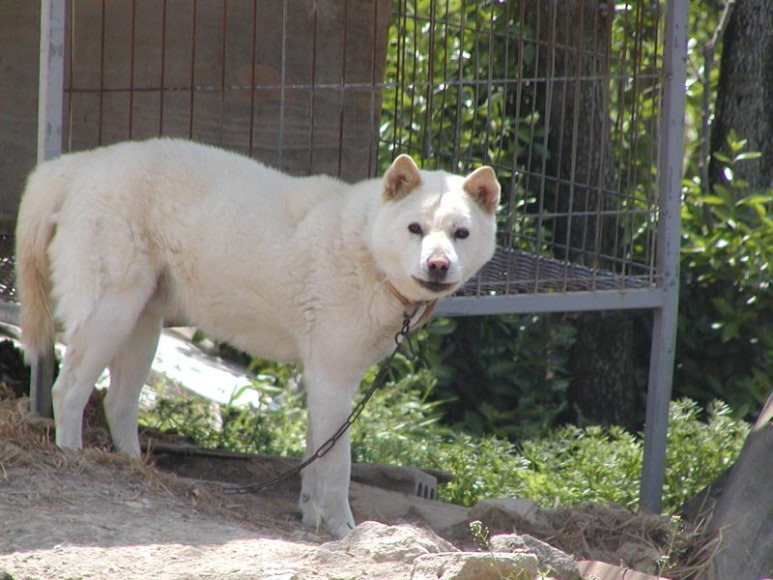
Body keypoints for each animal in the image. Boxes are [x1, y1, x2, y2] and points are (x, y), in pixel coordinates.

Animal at [15, 138, 500, 537]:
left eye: (460, 234)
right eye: (415, 229)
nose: (438, 265)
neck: (366, 248)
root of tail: (78, 164)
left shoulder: (323, 381)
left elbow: (314, 457)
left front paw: (310, 515)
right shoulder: (333, 380)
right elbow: (337, 466)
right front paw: (343, 529)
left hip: (141, 327)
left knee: (118, 403)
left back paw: (137, 469)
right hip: (110, 316)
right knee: (68, 390)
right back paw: (76, 458)